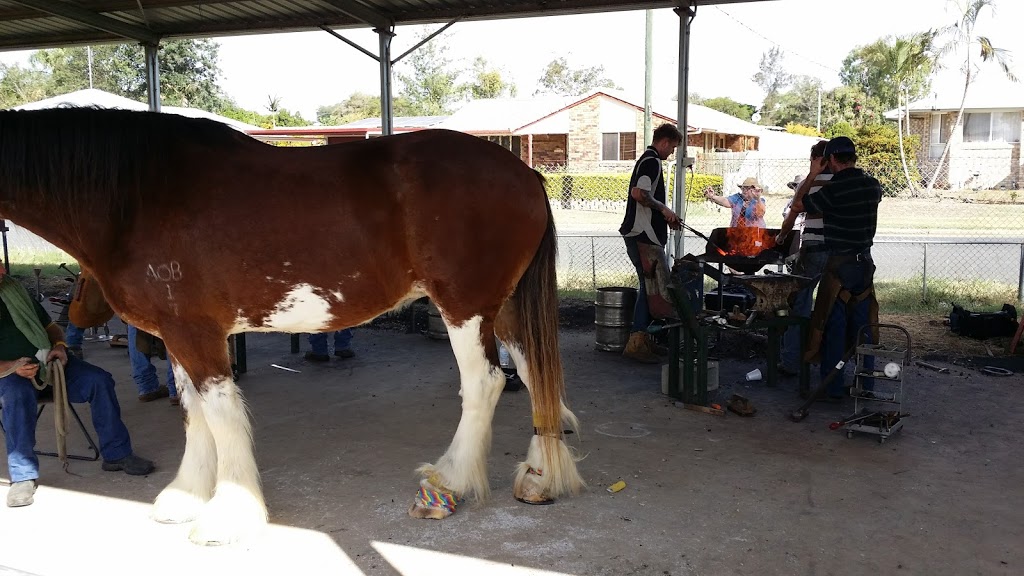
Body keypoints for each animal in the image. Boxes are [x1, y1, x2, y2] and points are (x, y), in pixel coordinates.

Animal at [0, 107, 581, 541]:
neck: (137, 197)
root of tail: (525, 172)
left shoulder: (195, 334)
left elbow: (221, 416)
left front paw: (228, 514)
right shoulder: (179, 335)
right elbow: (194, 416)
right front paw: (186, 496)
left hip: (465, 307)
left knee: (485, 383)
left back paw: (451, 480)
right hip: (504, 307)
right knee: (536, 374)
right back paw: (539, 477)